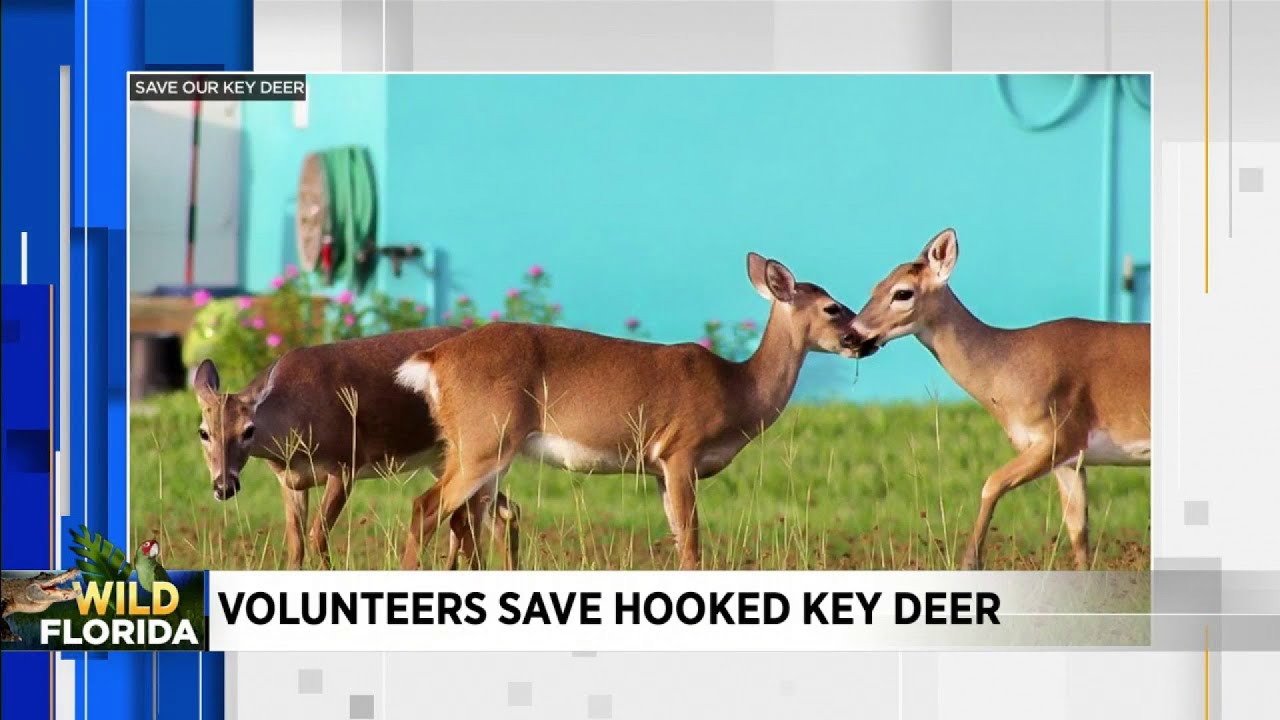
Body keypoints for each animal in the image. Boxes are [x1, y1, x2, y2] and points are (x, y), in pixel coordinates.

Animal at [191, 327, 521, 571]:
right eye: (204, 432)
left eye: (248, 430)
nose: (224, 486)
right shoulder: (291, 480)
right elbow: (296, 546)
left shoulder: (345, 462)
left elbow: (317, 536)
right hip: (449, 460)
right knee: (504, 511)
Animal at [393, 253, 865, 570]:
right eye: (832, 308)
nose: (862, 339)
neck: (739, 389)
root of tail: (434, 360)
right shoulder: (680, 451)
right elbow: (691, 544)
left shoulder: (658, 469)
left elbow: (678, 536)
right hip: (483, 439)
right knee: (425, 508)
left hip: (481, 447)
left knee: (468, 520)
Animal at [849, 228, 1150, 570]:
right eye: (875, 287)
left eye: (902, 293)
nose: (850, 334)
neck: (1006, 371)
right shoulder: (1070, 459)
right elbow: (1079, 534)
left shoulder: (1061, 434)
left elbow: (991, 483)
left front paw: (970, 561)